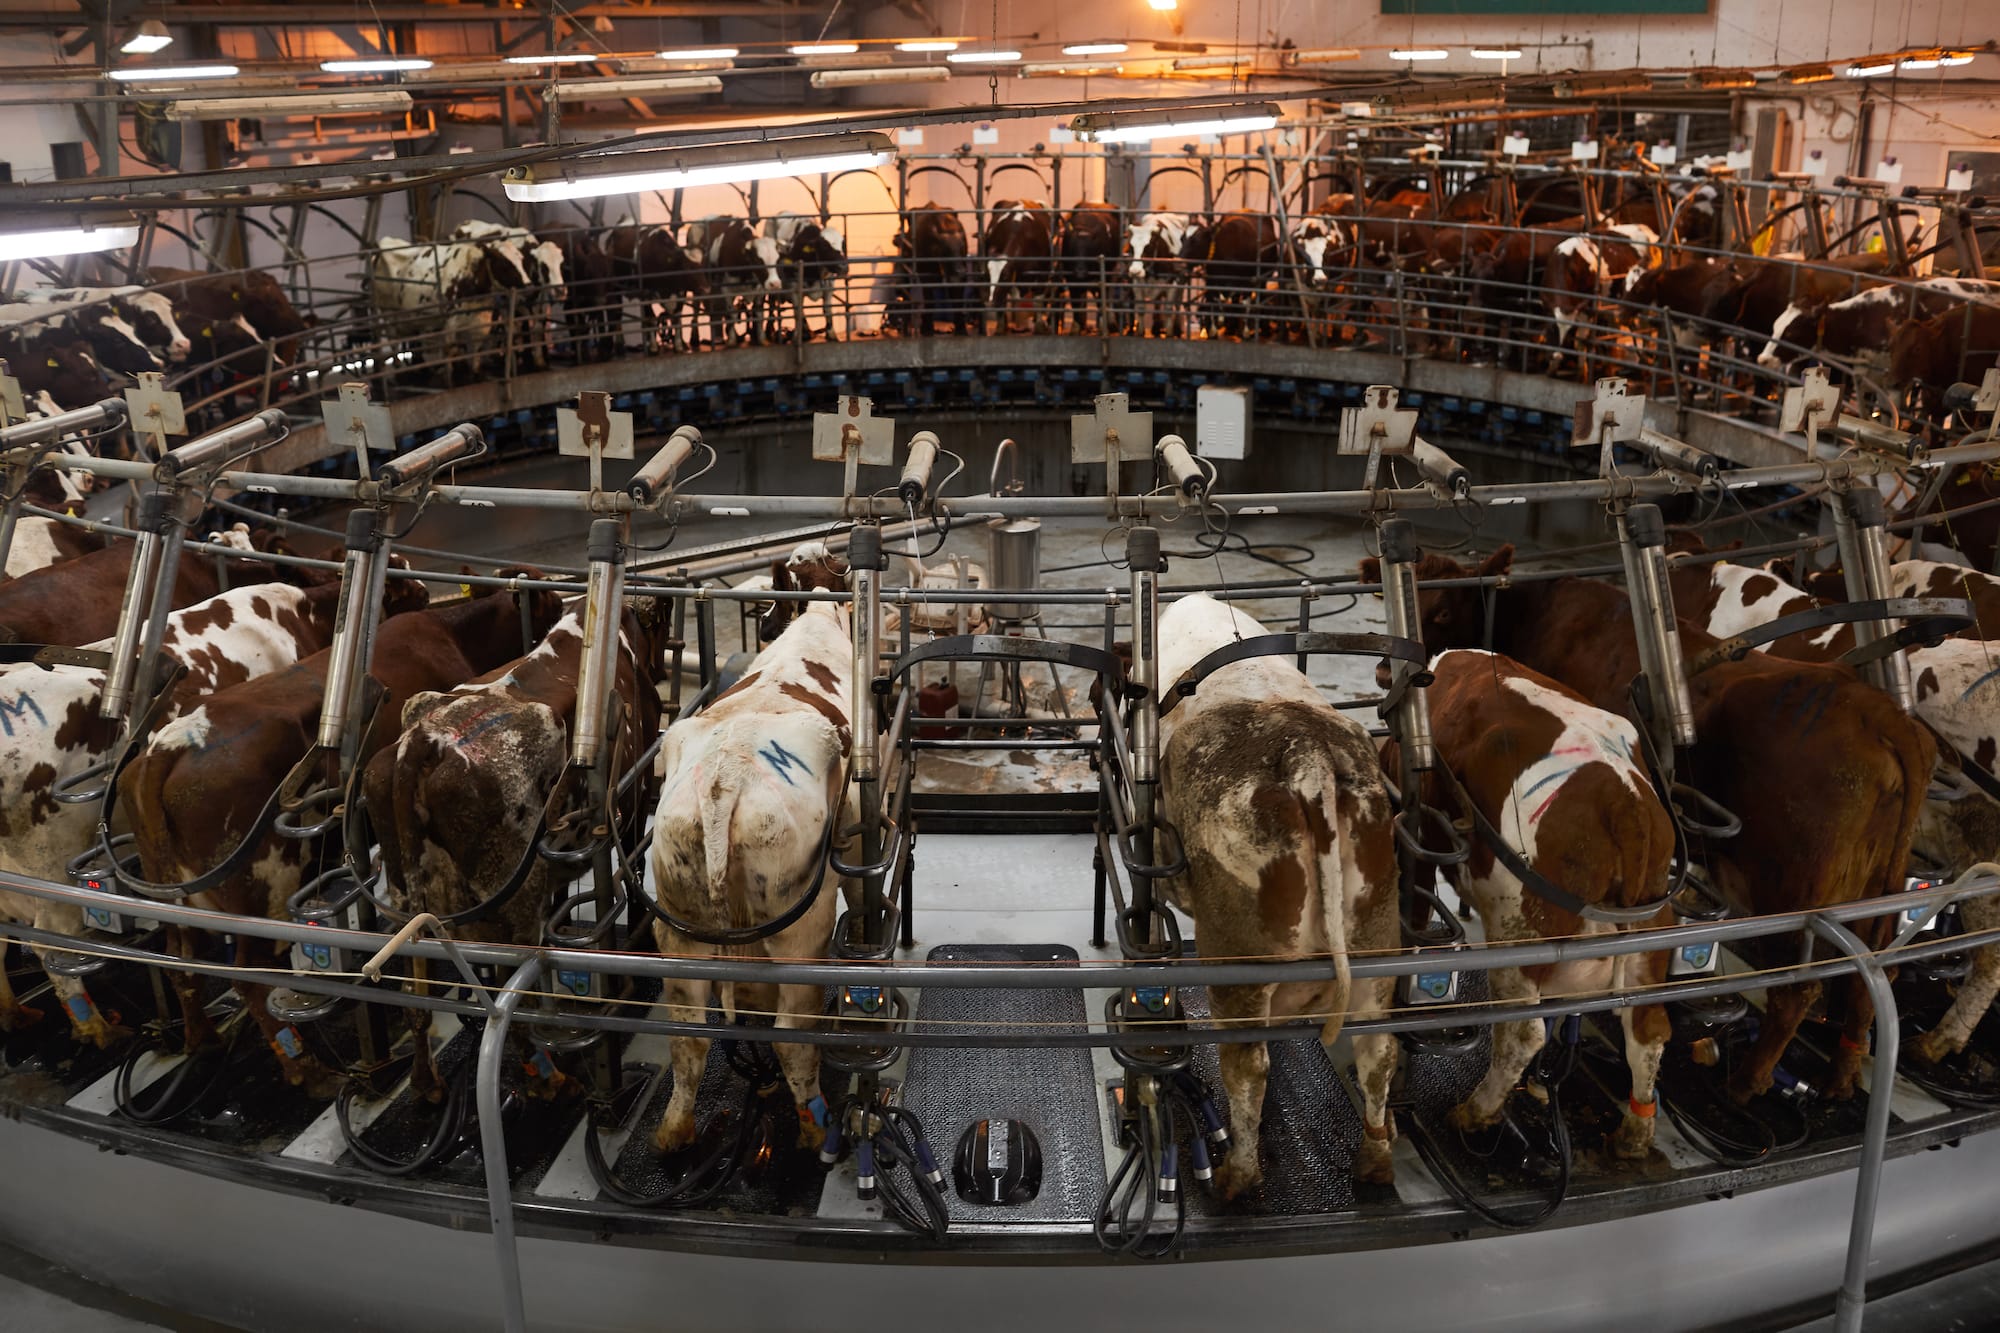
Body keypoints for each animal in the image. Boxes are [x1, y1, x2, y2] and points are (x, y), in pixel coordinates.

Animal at [648, 548, 852, 1152]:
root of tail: (725, 782)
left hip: (679, 922)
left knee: (687, 1032)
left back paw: (674, 1130)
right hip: (800, 929)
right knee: (791, 1035)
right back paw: (815, 1126)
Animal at [1152, 592, 1400, 1192]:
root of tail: (1307, 758)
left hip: (1238, 960)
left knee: (1246, 1064)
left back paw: (1236, 1176)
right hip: (1378, 939)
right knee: (1378, 1050)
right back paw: (1375, 1161)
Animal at [1416, 548, 1928, 1096]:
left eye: (1443, 610)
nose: (1392, 672)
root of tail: (1878, 713)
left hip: (1796, 894)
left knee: (1798, 989)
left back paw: (1746, 1083)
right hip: (1877, 886)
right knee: (1874, 972)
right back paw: (1841, 1074)